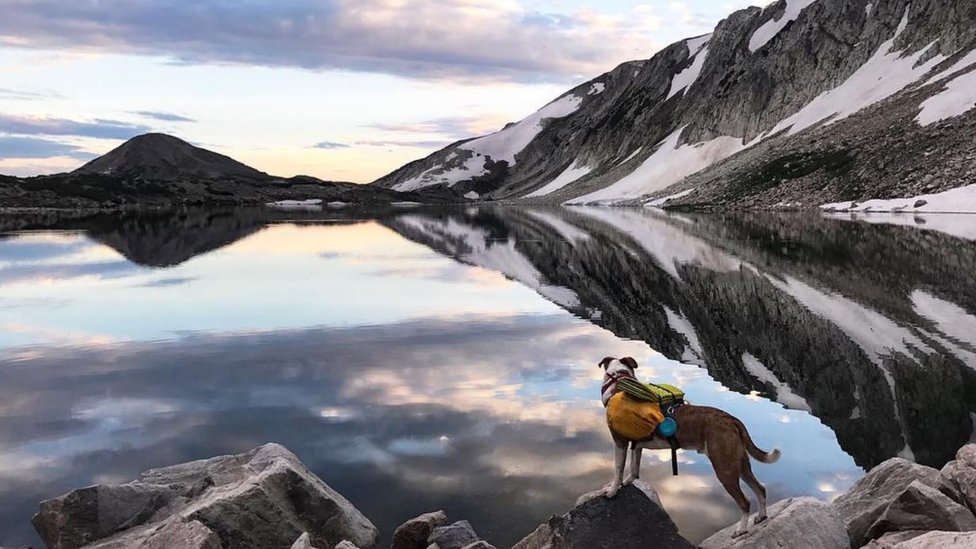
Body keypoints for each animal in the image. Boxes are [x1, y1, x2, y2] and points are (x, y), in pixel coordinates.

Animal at [600, 354, 780, 536]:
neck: (619, 381)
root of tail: (731, 419)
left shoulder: (620, 442)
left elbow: (618, 469)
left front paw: (612, 491)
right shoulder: (637, 444)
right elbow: (634, 467)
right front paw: (628, 481)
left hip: (724, 467)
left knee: (745, 502)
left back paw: (741, 529)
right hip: (740, 463)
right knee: (760, 489)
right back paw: (761, 516)